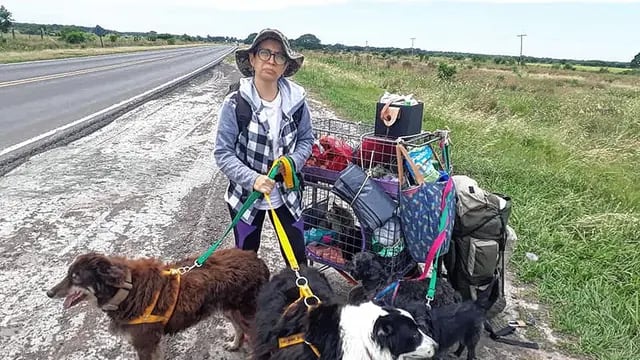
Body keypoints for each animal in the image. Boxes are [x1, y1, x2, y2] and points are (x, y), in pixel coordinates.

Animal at [47, 249, 270, 358]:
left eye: (76, 277)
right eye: (68, 274)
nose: (49, 293)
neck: (126, 290)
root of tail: (258, 260)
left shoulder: (144, 343)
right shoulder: (152, 343)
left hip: (246, 311)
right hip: (229, 309)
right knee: (239, 329)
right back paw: (234, 344)